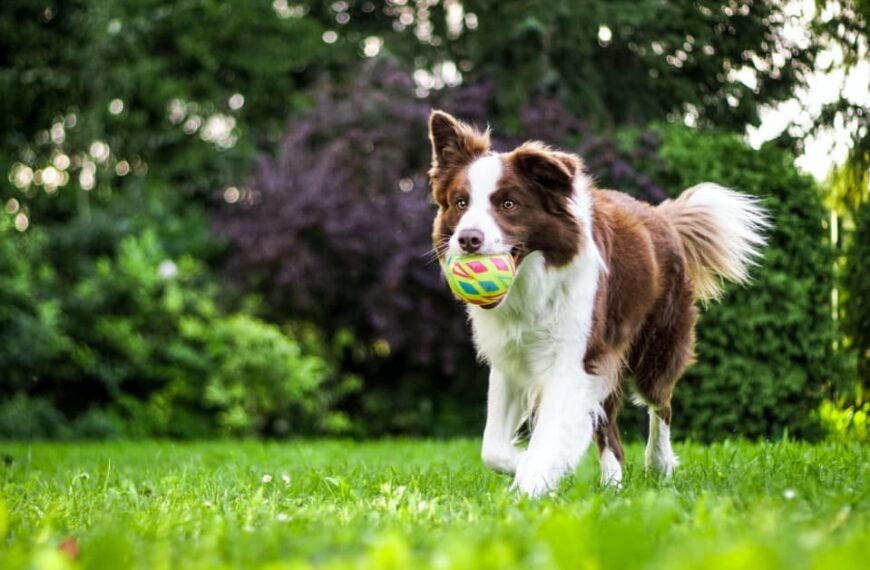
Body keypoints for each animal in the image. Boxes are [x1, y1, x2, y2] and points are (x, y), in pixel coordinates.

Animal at [430, 110, 768, 492]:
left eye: (508, 204)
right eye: (461, 203)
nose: (468, 239)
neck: (532, 284)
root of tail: (662, 216)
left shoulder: (575, 358)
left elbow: (550, 433)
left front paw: (531, 483)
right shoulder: (511, 358)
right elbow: (492, 448)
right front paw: (526, 465)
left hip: (656, 346)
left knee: (660, 405)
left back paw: (658, 464)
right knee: (610, 429)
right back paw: (612, 484)